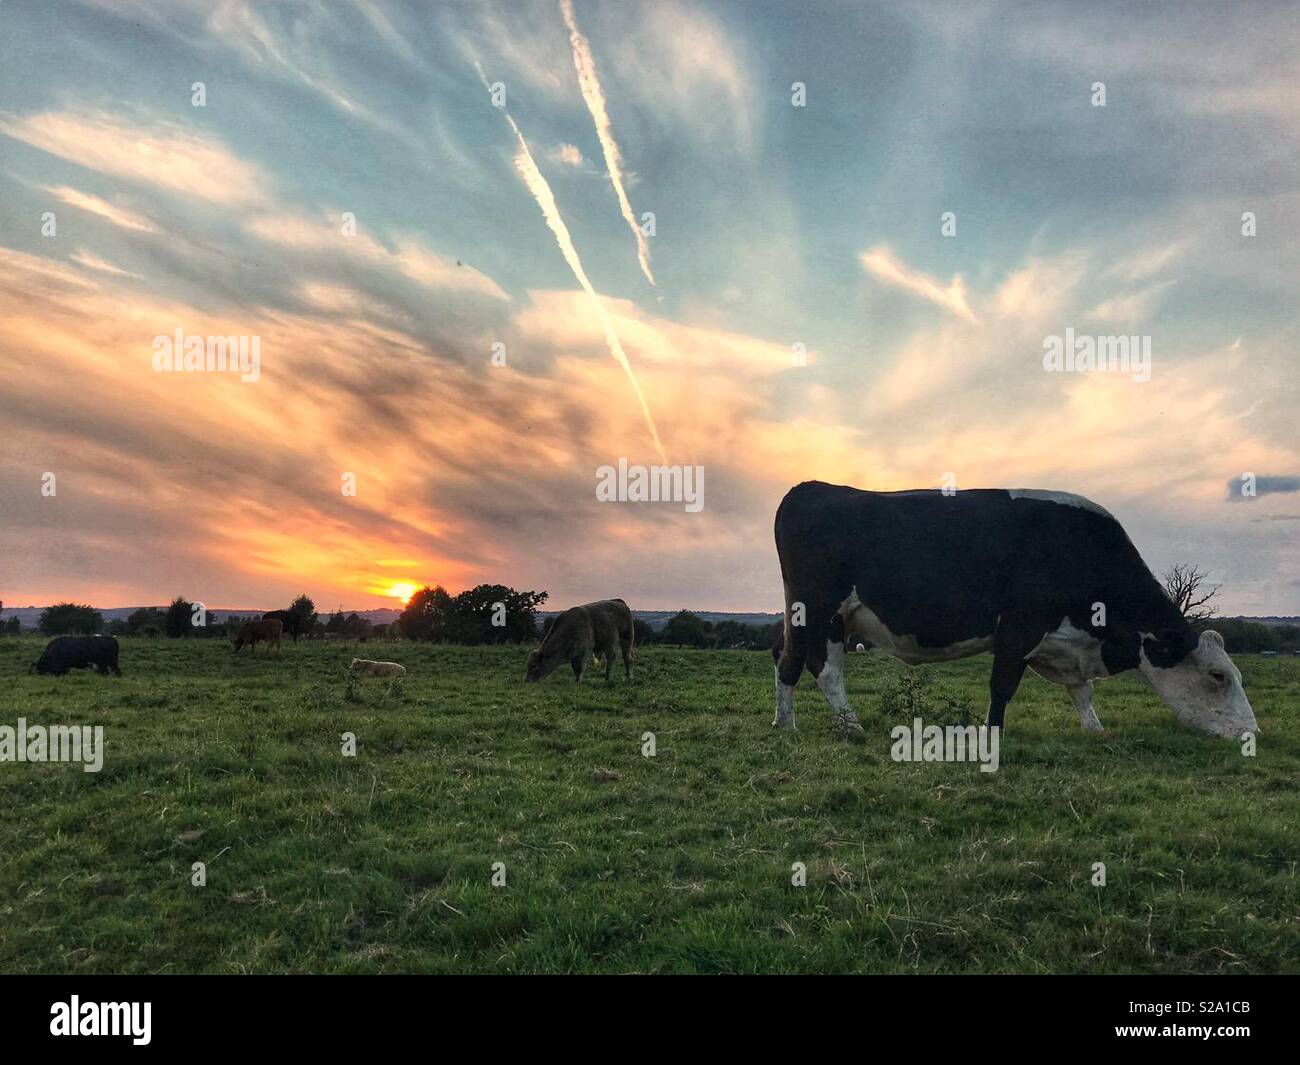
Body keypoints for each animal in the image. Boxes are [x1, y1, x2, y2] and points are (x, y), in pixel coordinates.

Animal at [772, 482, 1258, 741]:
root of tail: (811, 487)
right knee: (822, 669)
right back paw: (847, 727)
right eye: (1218, 676)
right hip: (819, 609)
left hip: (809, 616)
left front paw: (1095, 729)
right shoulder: (1019, 628)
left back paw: (785, 724)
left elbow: (1082, 691)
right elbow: (1002, 686)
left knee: (787, 660)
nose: (1252, 733)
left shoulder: (1067, 646)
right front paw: (993, 733)